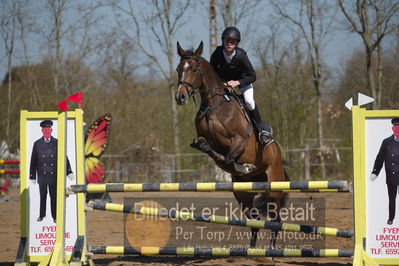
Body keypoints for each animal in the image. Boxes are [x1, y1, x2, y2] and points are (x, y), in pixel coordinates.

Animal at [175, 40, 288, 248]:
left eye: (193, 69)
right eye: (179, 69)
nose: (180, 97)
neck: (214, 105)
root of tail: (277, 152)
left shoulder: (239, 140)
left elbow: (228, 158)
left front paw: (244, 166)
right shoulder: (204, 139)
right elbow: (208, 149)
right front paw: (242, 167)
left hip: (274, 187)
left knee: (275, 219)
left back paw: (271, 248)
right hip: (243, 193)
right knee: (254, 220)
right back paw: (252, 249)